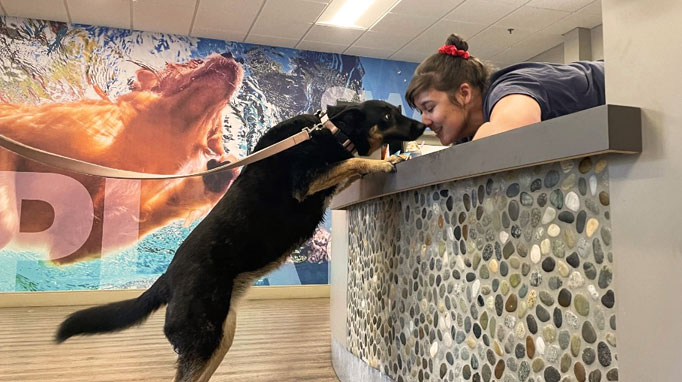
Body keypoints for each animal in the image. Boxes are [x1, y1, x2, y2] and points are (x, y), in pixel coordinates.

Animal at [54, 99, 424, 382]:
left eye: (397, 111)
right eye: (387, 116)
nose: (423, 127)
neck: (330, 131)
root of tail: (168, 279)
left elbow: (350, 166)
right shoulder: (307, 181)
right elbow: (354, 161)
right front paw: (387, 162)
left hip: (220, 336)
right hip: (206, 337)